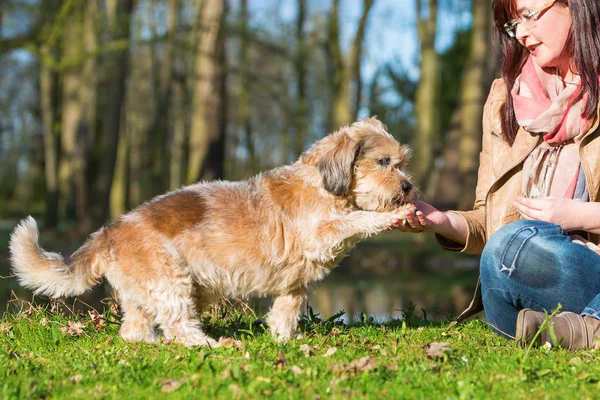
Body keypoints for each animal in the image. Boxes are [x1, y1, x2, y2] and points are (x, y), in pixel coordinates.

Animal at [9, 116, 414, 346]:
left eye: (402, 162)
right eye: (384, 162)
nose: (409, 187)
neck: (322, 184)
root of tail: (107, 233)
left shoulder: (295, 284)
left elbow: (286, 312)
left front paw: (284, 339)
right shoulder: (321, 235)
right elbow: (357, 220)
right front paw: (392, 216)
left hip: (157, 292)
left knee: (134, 330)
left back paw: (149, 345)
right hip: (173, 285)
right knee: (178, 328)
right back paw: (209, 346)